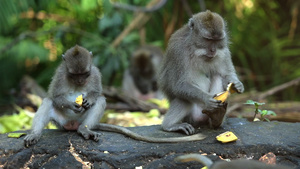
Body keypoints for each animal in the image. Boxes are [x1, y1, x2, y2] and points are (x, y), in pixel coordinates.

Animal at [24, 45, 206, 147]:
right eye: (75, 75)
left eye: (85, 73)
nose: (81, 80)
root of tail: (72, 124)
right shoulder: (60, 74)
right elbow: (54, 96)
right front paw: (72, 105)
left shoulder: (95, 73)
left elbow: (97, 94)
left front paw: (89, 100)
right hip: (60, 122)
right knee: (48, 102)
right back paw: (35, 134)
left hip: (83, 120)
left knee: (100, 101)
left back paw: (85, 130)